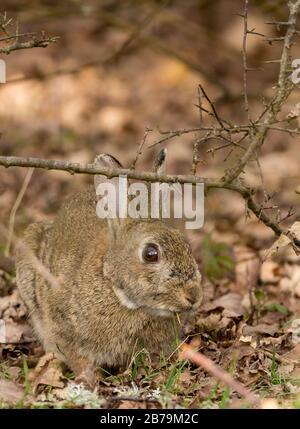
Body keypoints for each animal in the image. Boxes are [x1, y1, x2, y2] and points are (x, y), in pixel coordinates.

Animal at [16, 152, 203, 382]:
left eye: (186, 245)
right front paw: (90, 378)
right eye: (150, 254)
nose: (194, 296)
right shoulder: (63, 329)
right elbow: (76, 357)